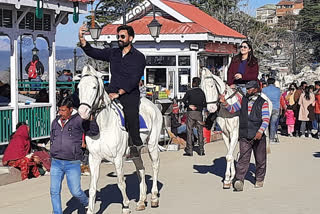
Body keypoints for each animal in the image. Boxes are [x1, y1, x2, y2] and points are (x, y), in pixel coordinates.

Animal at [77, 65, 162, 214]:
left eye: (94, 87)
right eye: (79, 87)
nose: (83, 112)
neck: (104, 125)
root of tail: (153, 105)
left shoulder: (118, 158)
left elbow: (121, 183)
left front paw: (126, 206)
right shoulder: (94, 159)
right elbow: (93, 187)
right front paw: (90, 210)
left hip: (152, 145)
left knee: (155, 166)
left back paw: (154, 198)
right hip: (135, 152)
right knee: (141, 169)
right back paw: (141, 201)